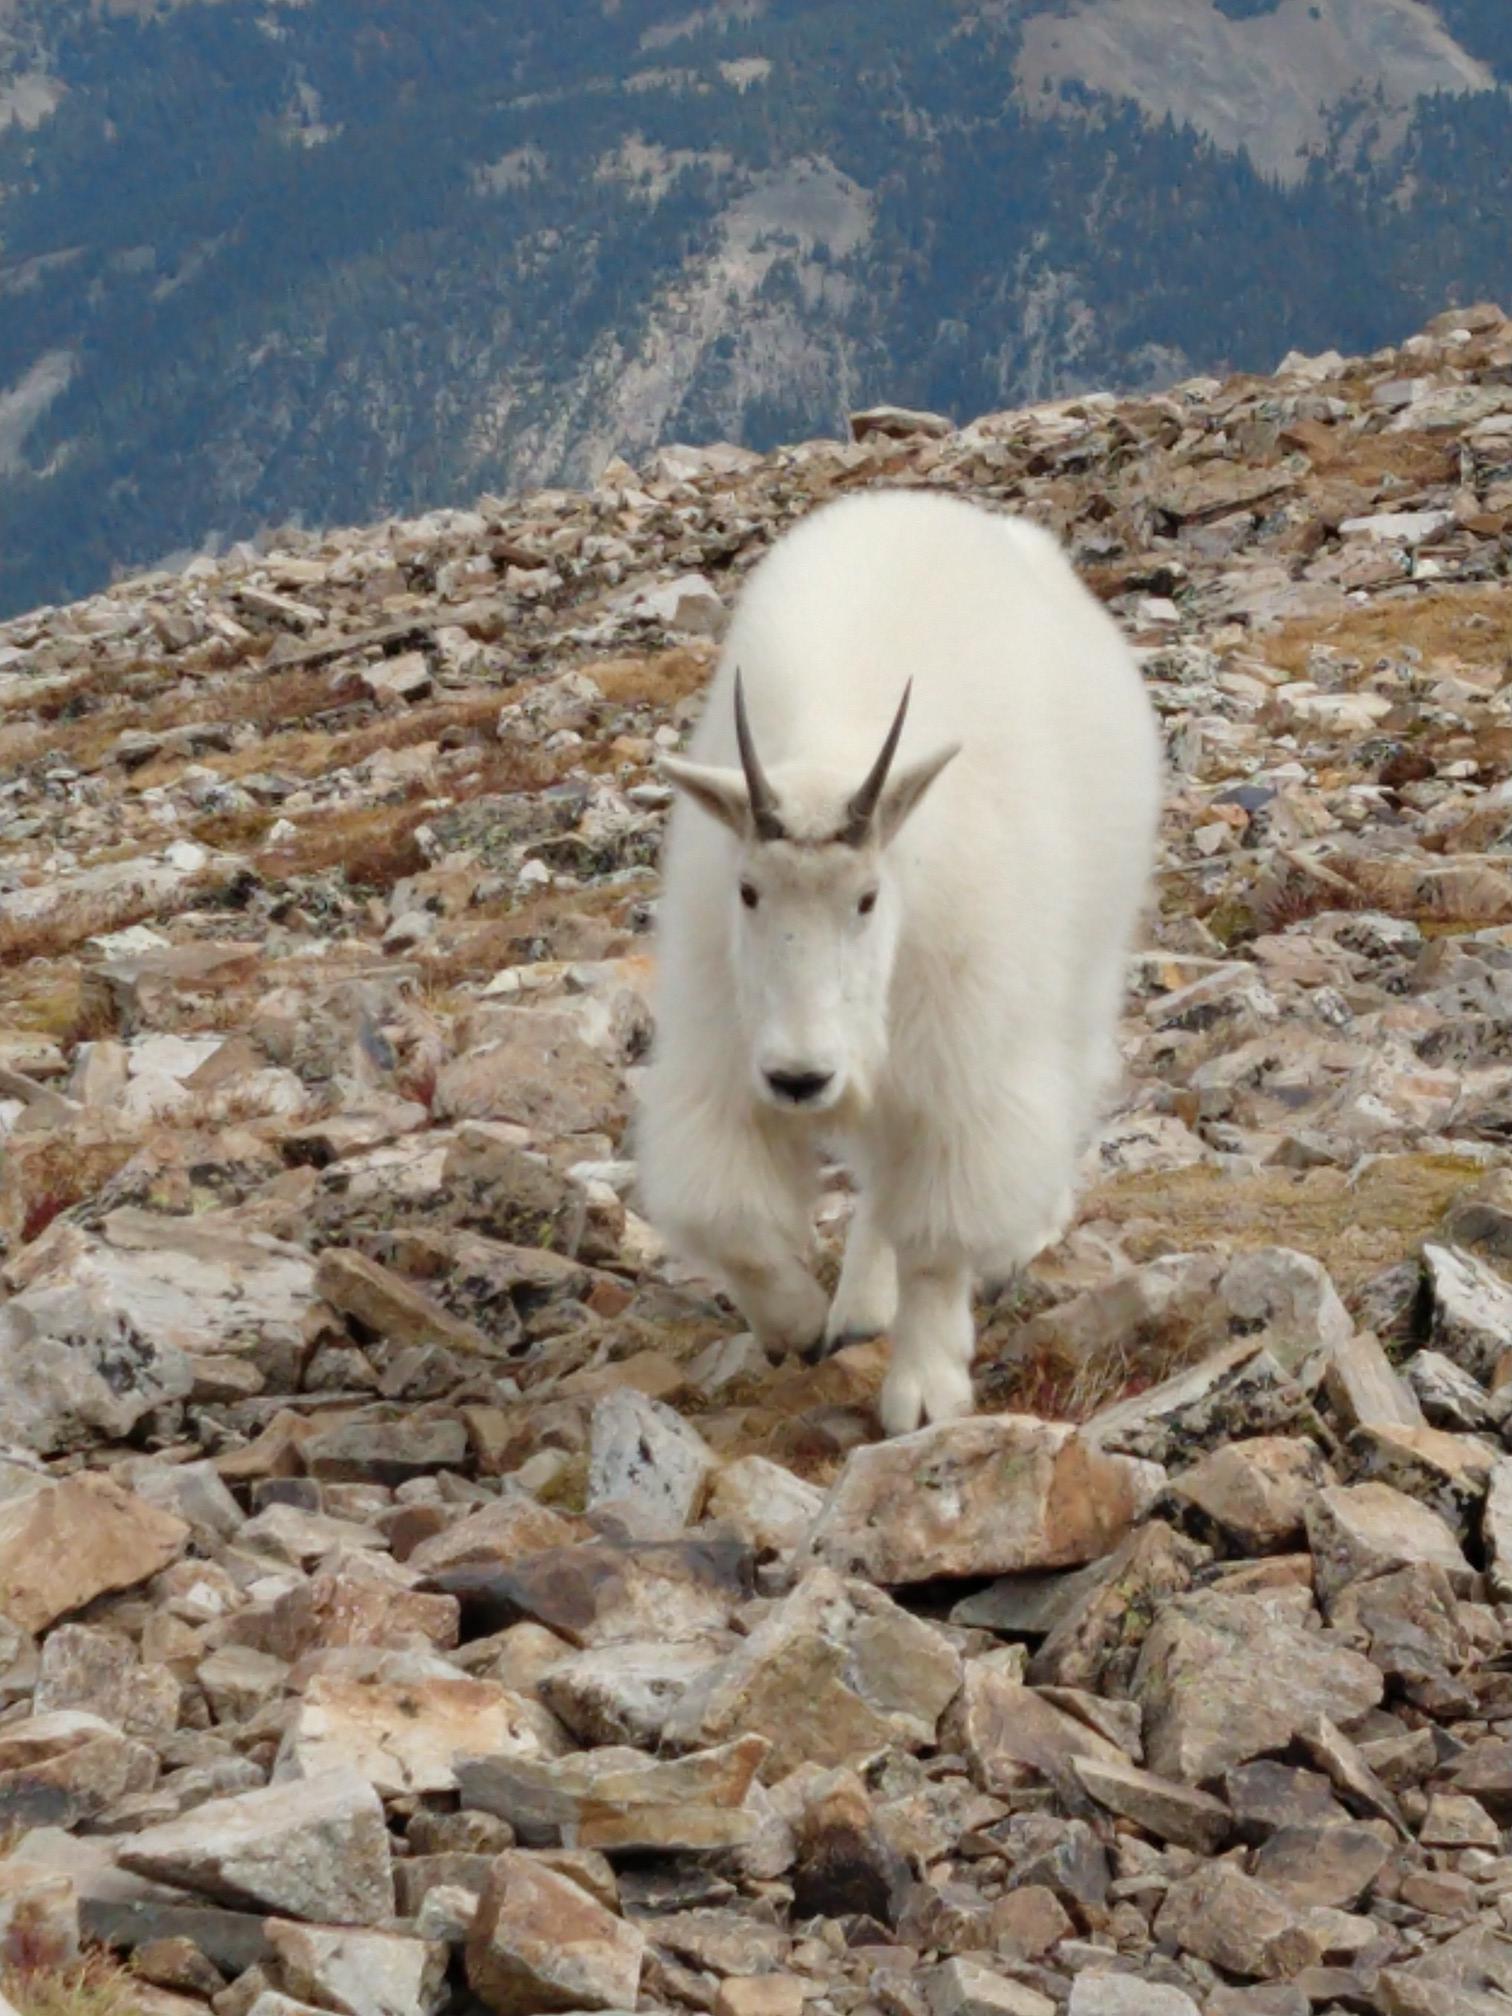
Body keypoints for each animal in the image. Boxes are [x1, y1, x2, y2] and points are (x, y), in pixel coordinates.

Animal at [637, 488, 1161, 1435]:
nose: (801, 1079)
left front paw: (924, 1393)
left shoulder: (959, 1064)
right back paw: (856, 1307)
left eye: (869, 898)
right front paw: (798, 1325)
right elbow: (734, 1222)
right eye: (747, 890)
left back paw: (1024, 1235)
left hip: (1081, 965)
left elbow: (938, 1240)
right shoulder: (724, 1055)